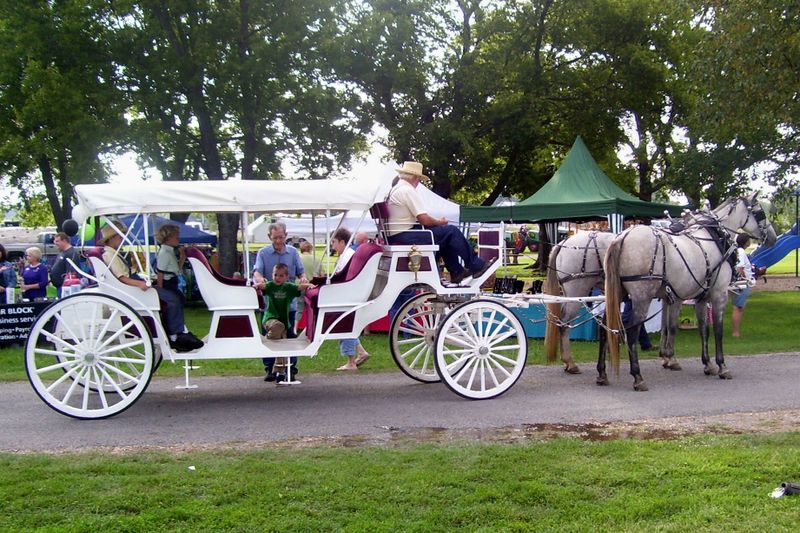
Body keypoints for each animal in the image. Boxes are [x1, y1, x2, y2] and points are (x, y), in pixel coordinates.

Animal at [608, 195, 776, 390]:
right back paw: (637, 376)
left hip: (619, 295)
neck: (714, 236)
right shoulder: (719, 294)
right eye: (760, 212)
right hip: (642, 297)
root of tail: (623, 237)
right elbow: (718, 330)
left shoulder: (700, 298)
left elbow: (703, 329)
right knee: (632, 332)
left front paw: (707, 364)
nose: (772, 237)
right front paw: (722, 366)